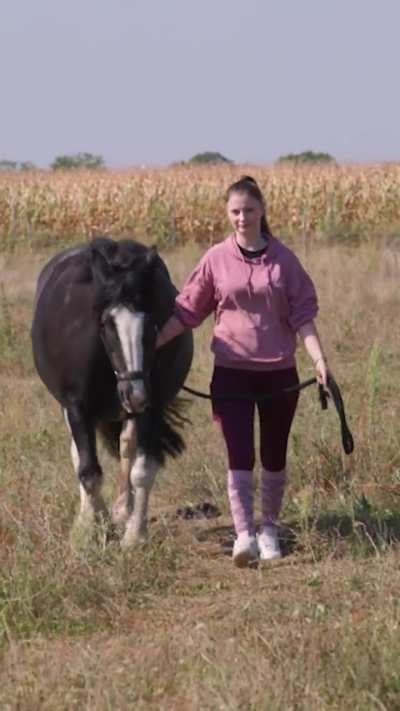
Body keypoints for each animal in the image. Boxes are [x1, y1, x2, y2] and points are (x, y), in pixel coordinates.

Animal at [31, 236, 193, 547]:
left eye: (151, 324)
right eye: (106, 323)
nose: (135, 394)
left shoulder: (153, 407)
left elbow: (141, 470)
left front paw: (135, 535)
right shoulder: (76, 406)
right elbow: (88, 471)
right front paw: (91, 529)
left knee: (126, 448)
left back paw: (122, 509)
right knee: (79, 455)